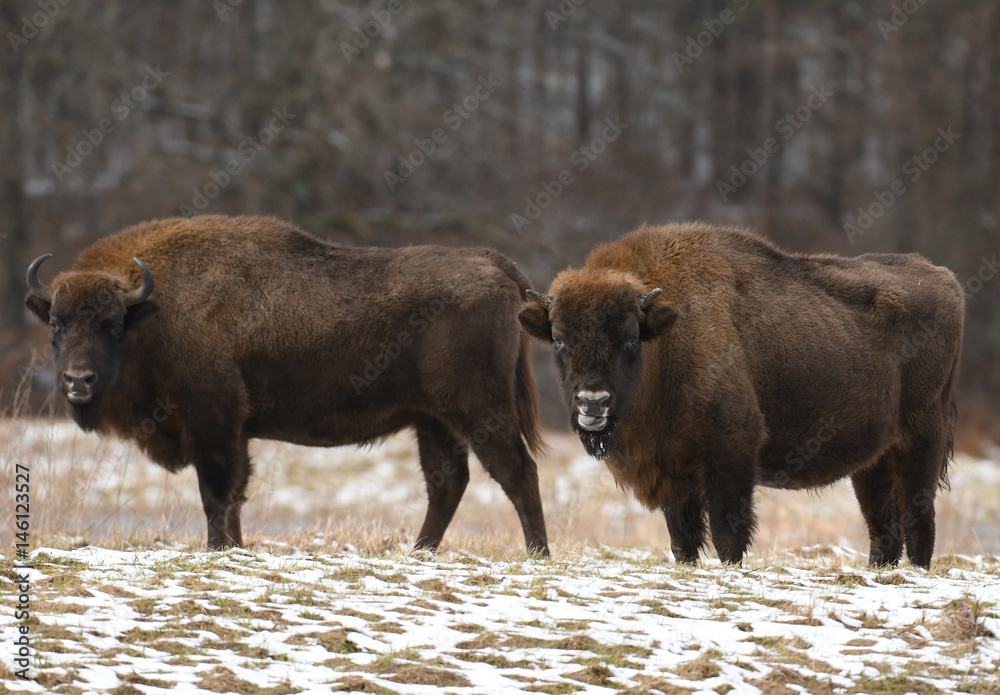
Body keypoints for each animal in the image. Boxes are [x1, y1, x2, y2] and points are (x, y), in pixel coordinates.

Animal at [25, 215, 549, 554]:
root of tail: (493, 264)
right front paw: (235, 548)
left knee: (516, 472)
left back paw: (537, 555)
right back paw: (419, 552)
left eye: (113, 324)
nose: (77, 381)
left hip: (479, 410)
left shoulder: (212, 424)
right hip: (433, 419)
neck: (154, 312)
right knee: (448, 481)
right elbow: (234, 495)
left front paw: (218, 550)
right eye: (56, 323)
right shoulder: (233, 433)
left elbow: (217, 494)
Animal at [520, 223, 963, 567]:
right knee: (883, 525)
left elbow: (727, 533)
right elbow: (683, 540)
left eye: (629, 337)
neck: (668, 338)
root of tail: (945, 277)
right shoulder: (672, 472)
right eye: (559, 338)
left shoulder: (731, 452)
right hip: (874, 460)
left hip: (921, 440)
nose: (592, 402)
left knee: (919, 520)